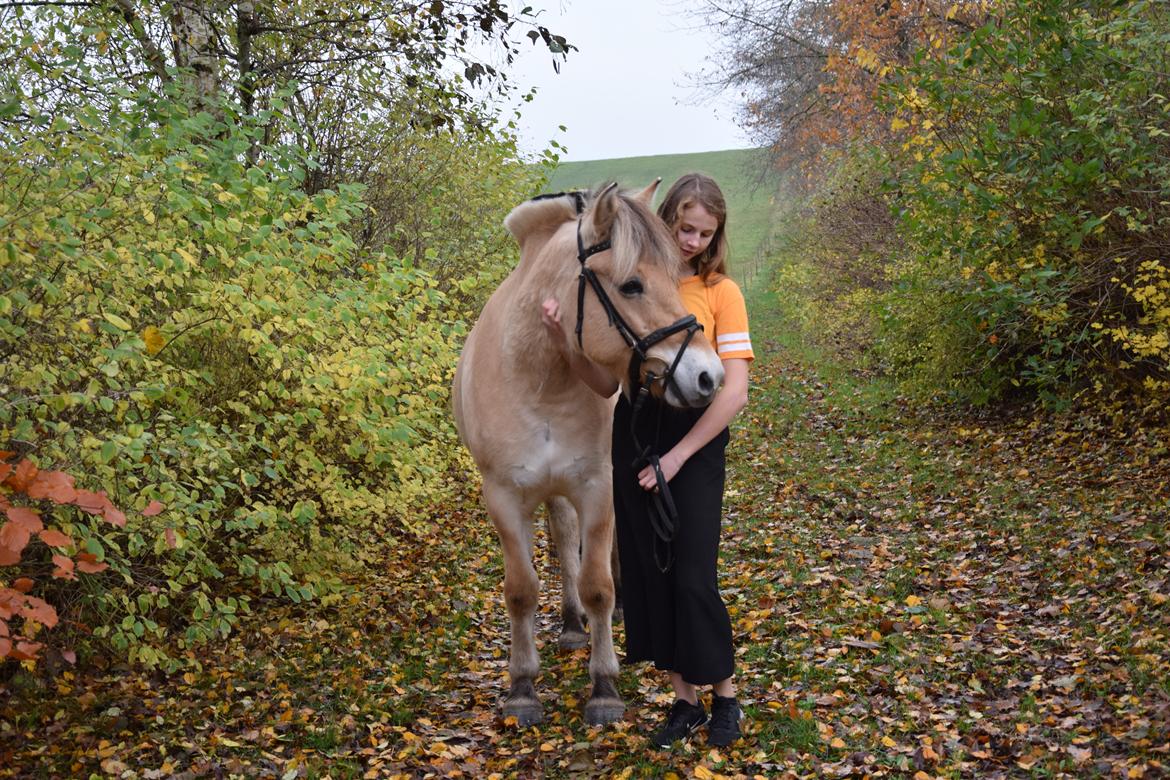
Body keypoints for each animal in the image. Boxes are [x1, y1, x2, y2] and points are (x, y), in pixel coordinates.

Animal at [453, 181, 720, 725]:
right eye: (632, 285)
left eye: (677, 279)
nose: (708, 376)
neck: (540, 378)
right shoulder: (504, 498)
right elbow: (521, 590)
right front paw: (522, 688)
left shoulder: (598, 485)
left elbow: (598, 584)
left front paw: (604, 688)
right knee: (562, 537)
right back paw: (571, 624)